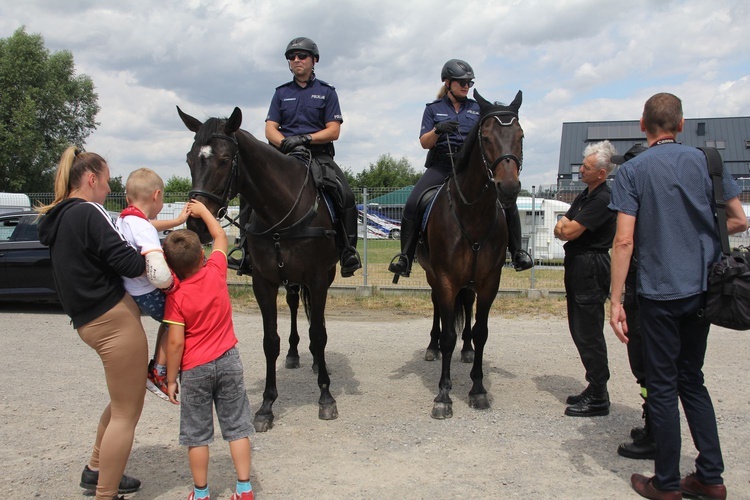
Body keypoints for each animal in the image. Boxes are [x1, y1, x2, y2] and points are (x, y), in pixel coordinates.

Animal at [178, 104, 338, 430]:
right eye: (189, 159)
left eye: (224, 160)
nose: (197, 224)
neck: (283, 211)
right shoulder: (264, 282)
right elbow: (270, 341)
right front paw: (266, 405)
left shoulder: (317, 279)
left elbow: (318, 333)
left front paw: (326, 396)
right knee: (294, 305)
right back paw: (295, 353)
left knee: (315, 321)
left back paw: (317, 361)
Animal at [420, 89, 524, 418]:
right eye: (486, 137)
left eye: (521, 135)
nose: (509, 188)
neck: (473, 215)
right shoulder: (445, 278)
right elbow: (447, 335)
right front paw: (443, 394)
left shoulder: (490, 282)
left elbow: (481, 332)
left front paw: (478, 389)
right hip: (433, 276)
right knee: (438, 309)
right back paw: (432, 347)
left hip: (470, 282)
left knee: (466, 307)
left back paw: (466, 351)